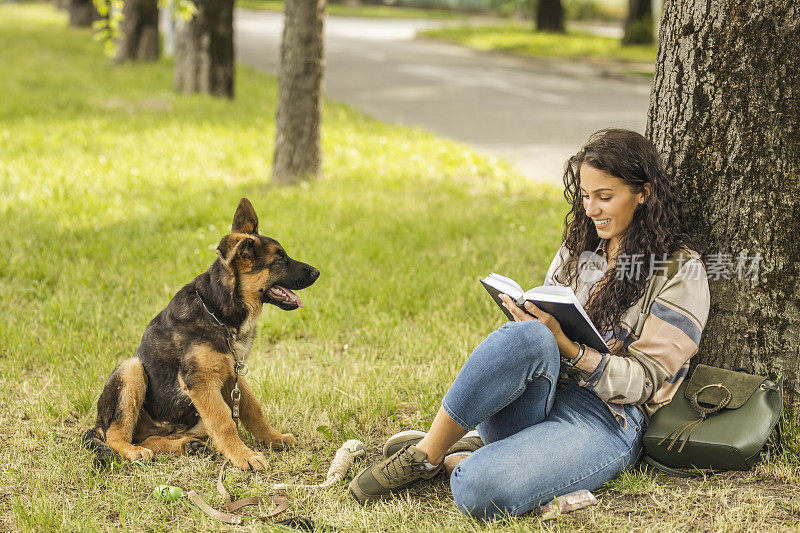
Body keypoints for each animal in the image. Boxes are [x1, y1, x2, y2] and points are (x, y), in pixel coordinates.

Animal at [82, 197, 318, 468]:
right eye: (279, 260)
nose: (317, 272)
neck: (217, 312)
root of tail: (97, 426)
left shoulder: (232, 373)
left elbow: (252, 408)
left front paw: (273, 438)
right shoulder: (200, 381)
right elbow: (224, 421)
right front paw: (243, 455)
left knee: (151, 439)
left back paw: (187, 445)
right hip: (131, 370)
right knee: (116, 435)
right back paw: (135, 452)